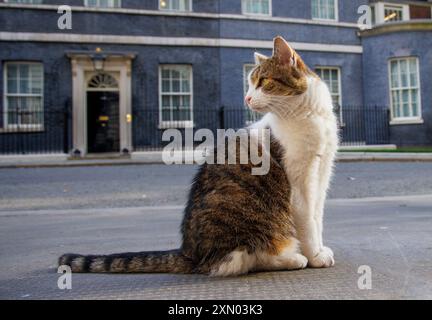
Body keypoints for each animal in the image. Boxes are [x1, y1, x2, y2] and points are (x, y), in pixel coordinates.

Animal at [60, 35, 338, 276]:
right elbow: (307, 223)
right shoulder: (300, 181)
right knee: (242, 259)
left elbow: (318, 217)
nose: (247, 98)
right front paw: (315, 256)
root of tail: (189, 252)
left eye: (262, 81)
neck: (309, 115)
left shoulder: (322, 173)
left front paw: (320, 247)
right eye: (250, 83)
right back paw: (292, 258)